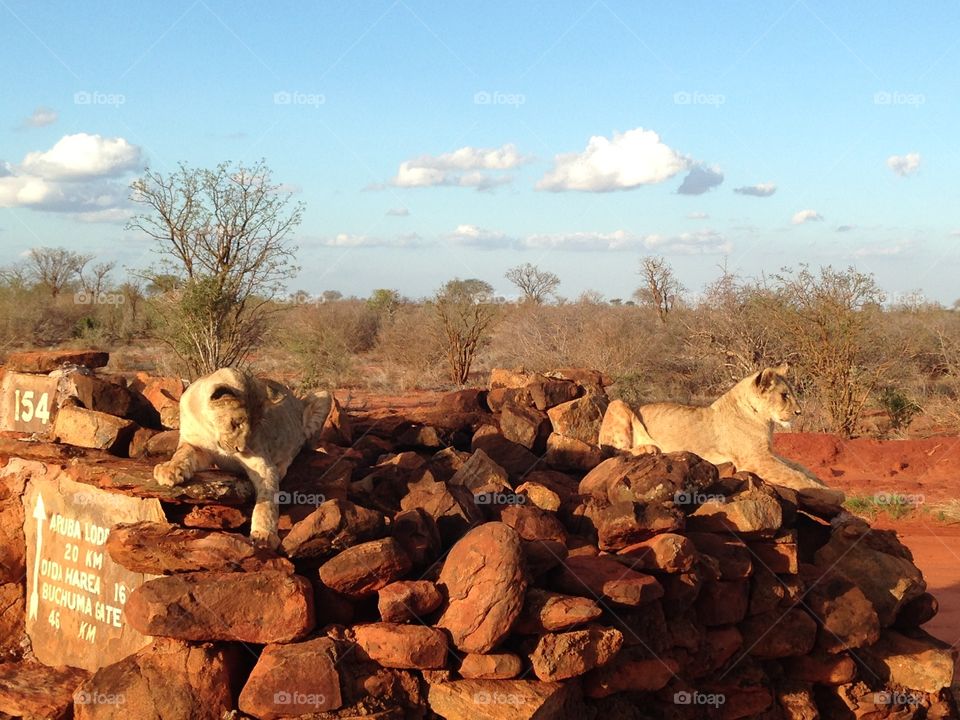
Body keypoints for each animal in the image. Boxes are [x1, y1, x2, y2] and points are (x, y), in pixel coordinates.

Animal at [154, 368, 332, 548]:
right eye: (236, 423)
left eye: (256, 425)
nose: (241, 448)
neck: (211, 429)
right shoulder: (195, 447)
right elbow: (182, 454)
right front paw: (169, 470)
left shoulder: (263, 465)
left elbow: (267, 500)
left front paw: (264, 535)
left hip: (324, 395)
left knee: (303, 444)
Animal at [599, 364, 844, 504]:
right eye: (784, 395)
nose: (799, 412)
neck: (764, 419)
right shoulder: (756, 459)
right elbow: (795, 476)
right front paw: (833, 494)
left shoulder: (768, 453)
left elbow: (800, 468)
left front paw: (824, 483)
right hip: (619, 403)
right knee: (611, 448)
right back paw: (649, 447)